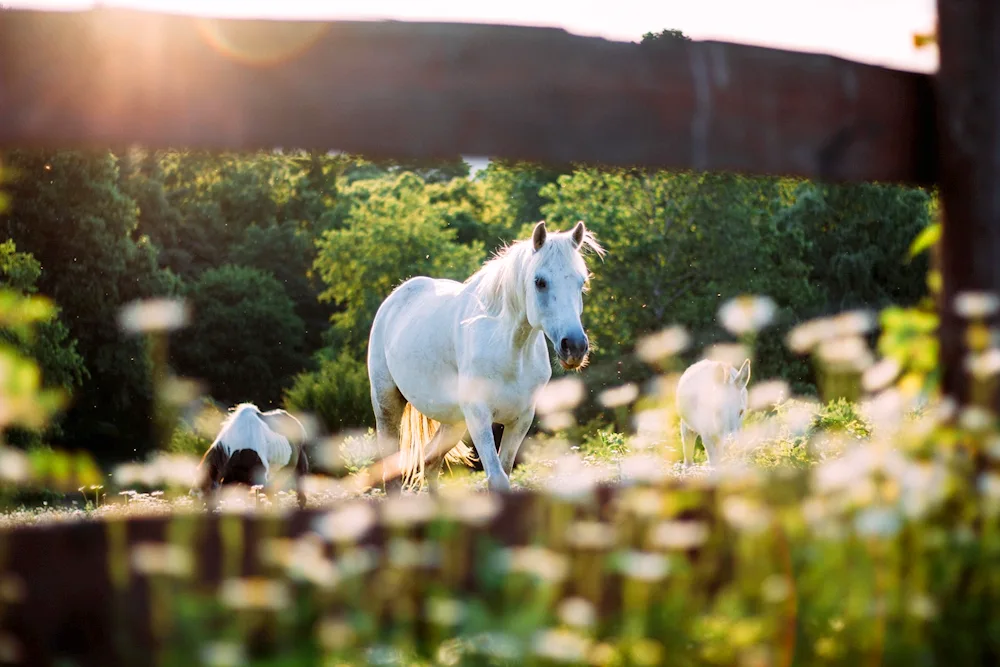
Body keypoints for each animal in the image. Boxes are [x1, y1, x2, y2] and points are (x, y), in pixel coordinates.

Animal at [366, 222, 604, 494]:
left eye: (581, 282)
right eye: (540, 282)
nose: (574, 346)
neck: (510, 351)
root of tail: (395, 298)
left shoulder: (521, 419)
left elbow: (505, 471)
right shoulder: (479, 416)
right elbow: (497, 478)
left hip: (454, 423)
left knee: (430, 462)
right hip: (387, 404)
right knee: (393, 470)